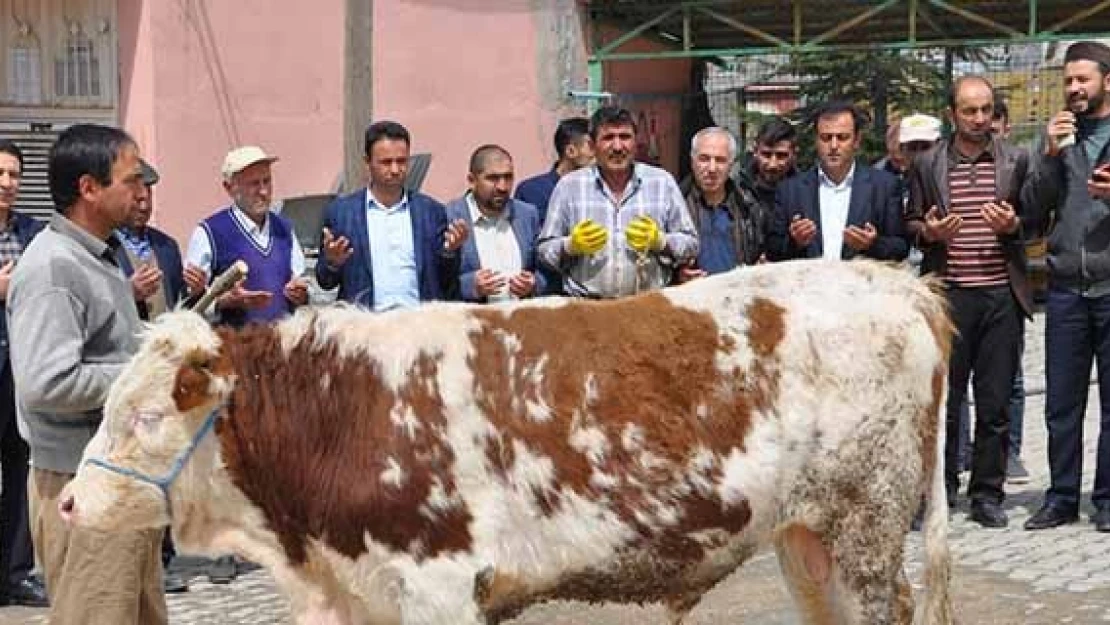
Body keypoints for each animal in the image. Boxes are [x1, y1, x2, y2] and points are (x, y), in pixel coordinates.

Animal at [58, 260, 954, 625]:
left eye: (145, 417)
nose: (68, 499)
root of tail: (891, 279)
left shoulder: (438, 586)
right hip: (808, 536)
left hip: (868, 527)